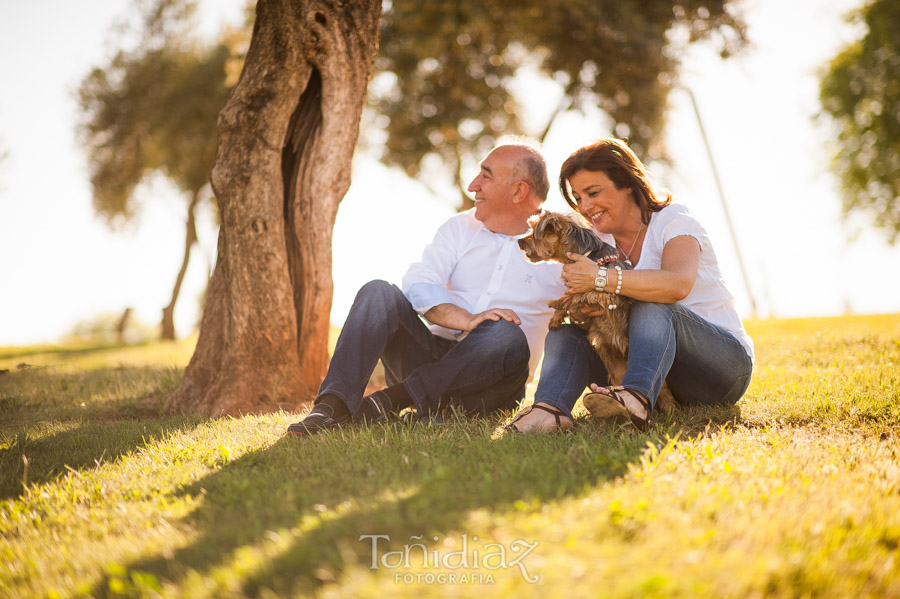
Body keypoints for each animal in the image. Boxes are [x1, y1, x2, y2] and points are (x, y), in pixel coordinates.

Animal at [512, 213, 676, 414]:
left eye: (535, 232)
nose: (519, 241)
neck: (591, 257)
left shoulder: (602, 292)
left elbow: (574, 295)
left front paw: (557, 303)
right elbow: (571, 297)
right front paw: (556, 319)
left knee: (664, 389)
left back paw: (668, 408)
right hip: (617, 366)